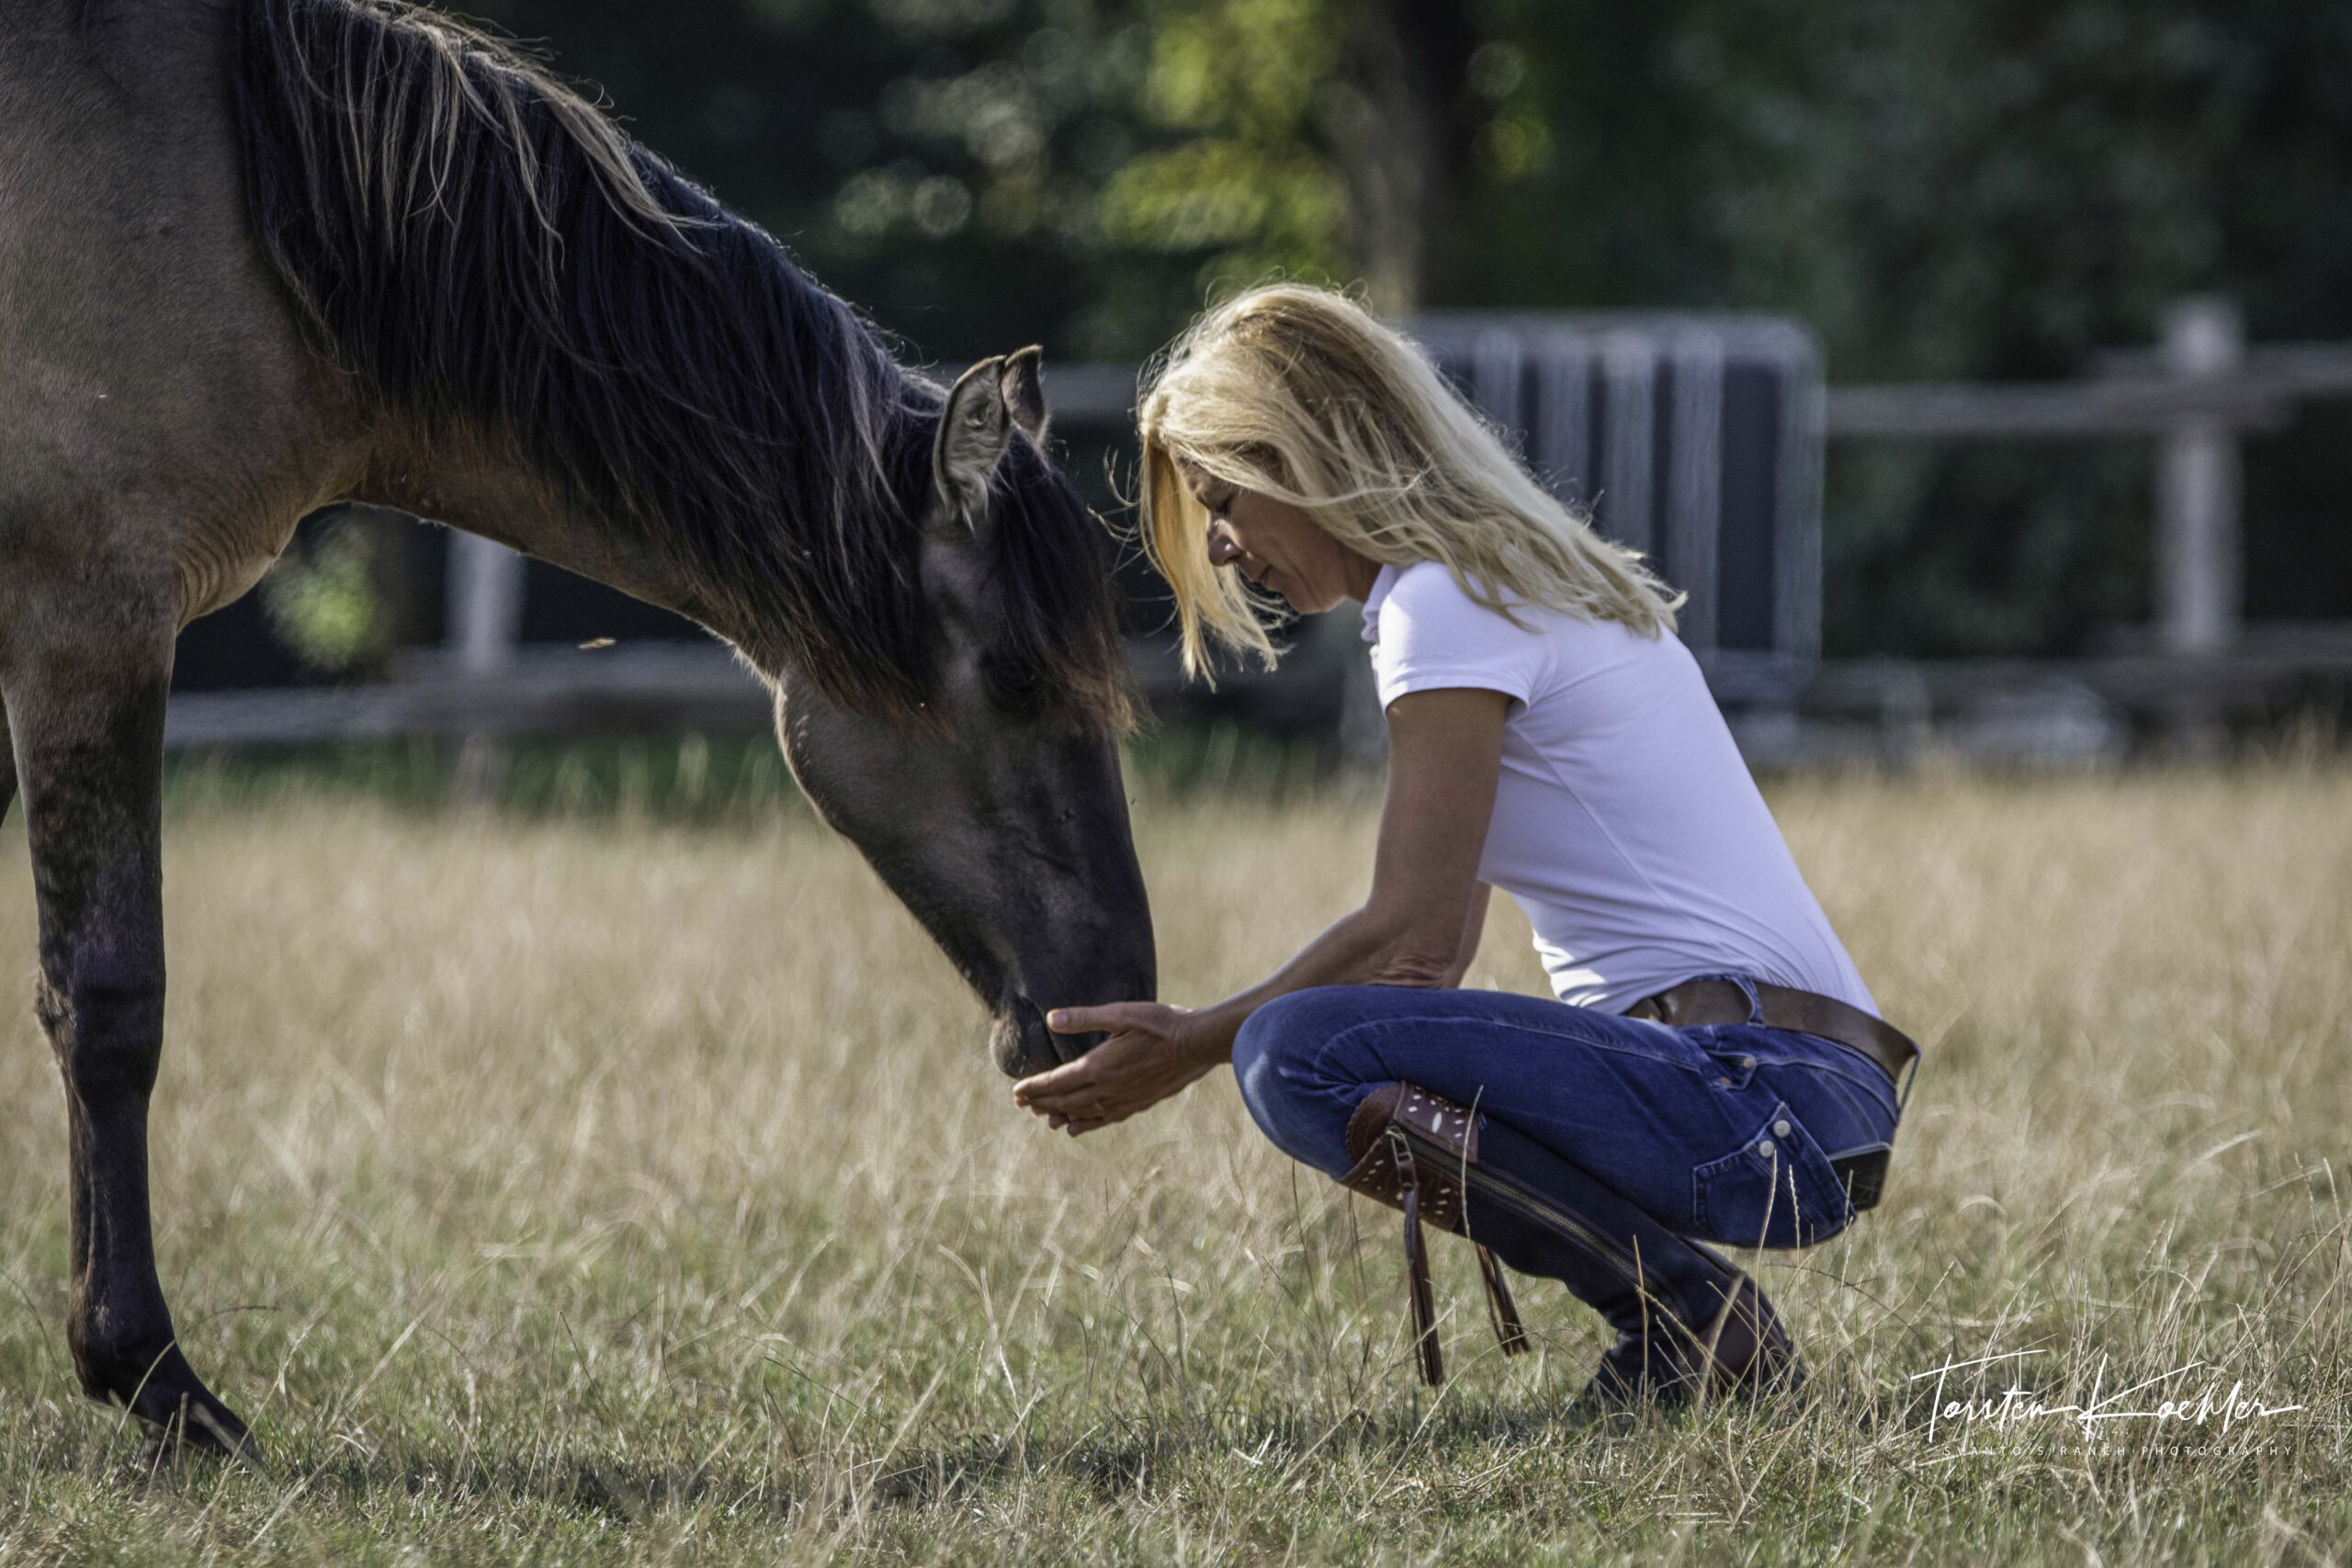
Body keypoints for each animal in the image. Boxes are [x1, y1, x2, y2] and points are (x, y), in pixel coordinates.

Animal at [0, 0, 1157, 1466]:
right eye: (1010, 675)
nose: (1118, 991)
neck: (237, 194)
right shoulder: (86, 627)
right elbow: (108, 1003)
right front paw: (150, 1377)